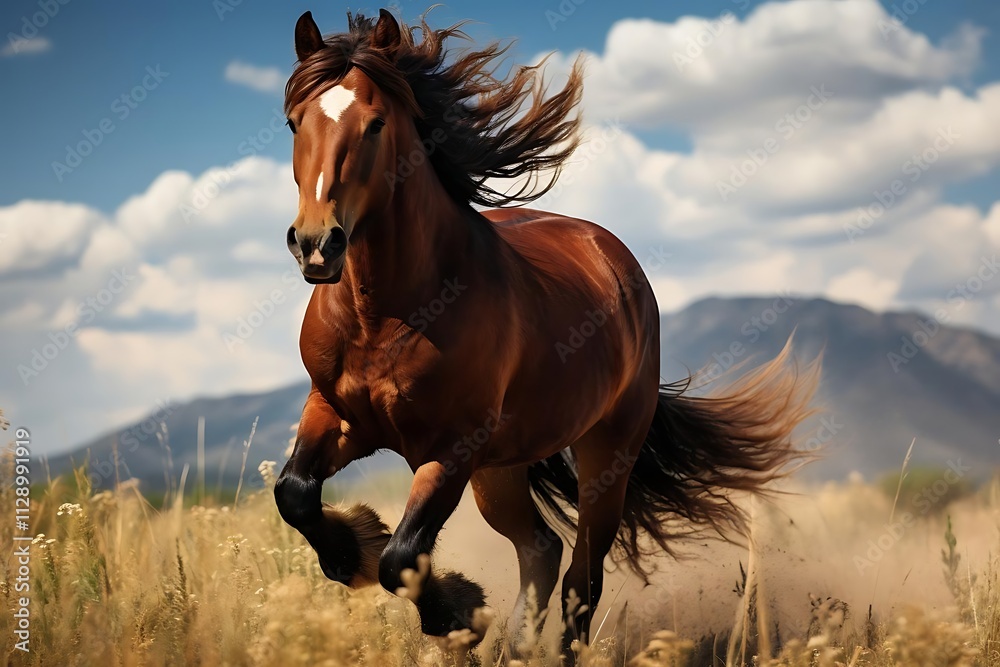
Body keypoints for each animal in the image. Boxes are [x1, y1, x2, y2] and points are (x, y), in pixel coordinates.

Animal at [273, 8, 819, 658]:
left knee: (581, 578)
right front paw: (358, 550)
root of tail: (614, 258)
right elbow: (296, 495)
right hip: (501, 468)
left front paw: (458, 615)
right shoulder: (336, 413)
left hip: (603, 456)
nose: (316, 243)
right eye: (294, 121)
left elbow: (403, 556)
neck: (385, 317)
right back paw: (517, 644)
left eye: (376, 123)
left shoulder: (451, 449)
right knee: (541, 547)